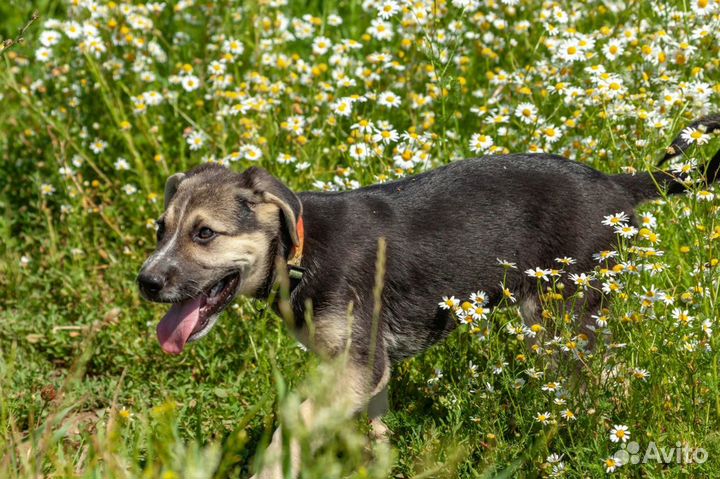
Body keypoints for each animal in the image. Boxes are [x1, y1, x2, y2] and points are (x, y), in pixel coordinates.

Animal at [138, 114, 716, 478]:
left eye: (204, 234)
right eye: (161, 228)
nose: (146, 282)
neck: (300, 252)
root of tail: (619, 184)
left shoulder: (359, 368)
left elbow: (293, 424)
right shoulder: (364, 373)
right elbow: (372, 434)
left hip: (565, 319)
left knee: (609, 380)